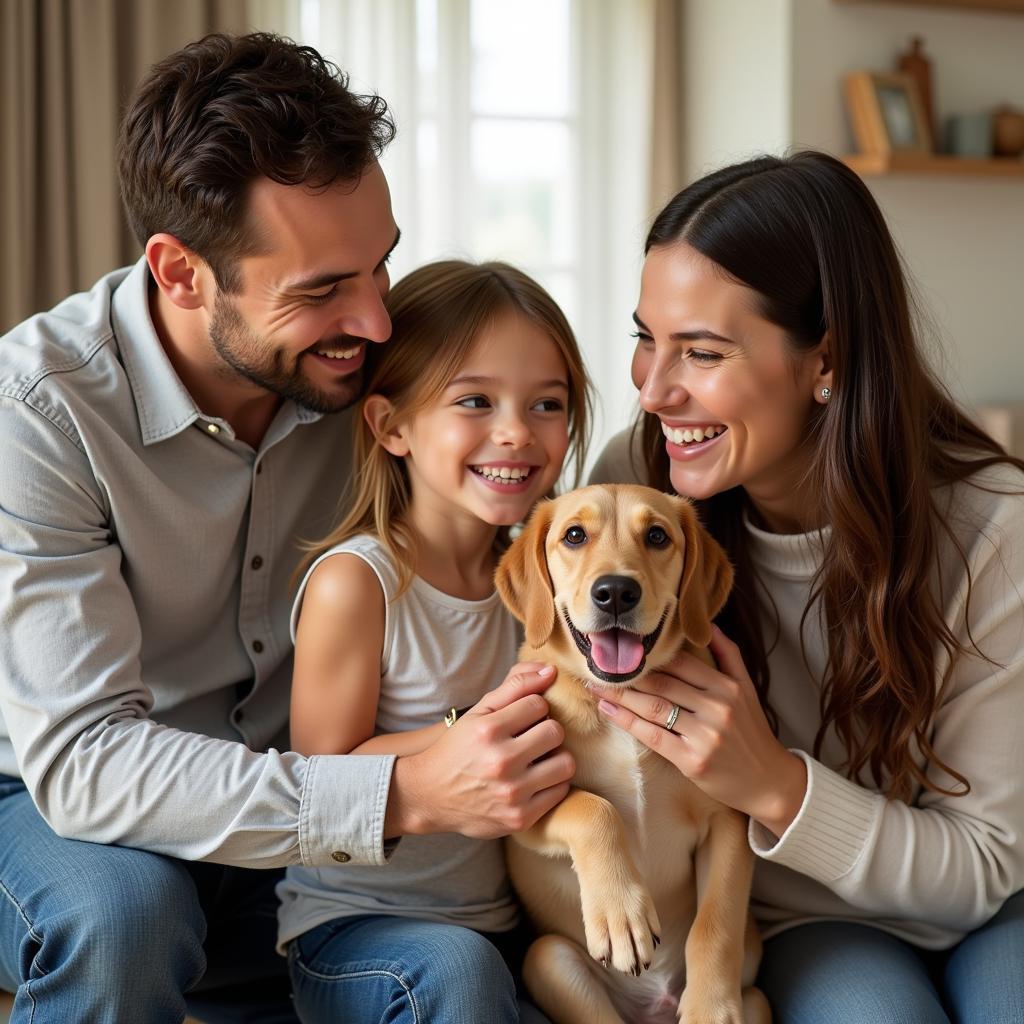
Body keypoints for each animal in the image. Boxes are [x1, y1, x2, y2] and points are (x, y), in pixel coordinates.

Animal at [493, 481, 770, 1024]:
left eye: (658, 536)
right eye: (574, 535)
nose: (616, 591)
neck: (620, 694)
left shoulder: (728, 818)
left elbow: (716, 924)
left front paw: (709, 1008)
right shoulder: (521, 807)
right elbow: (591, 807)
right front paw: (621, 915)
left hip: (757, 996)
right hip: (548, 960)